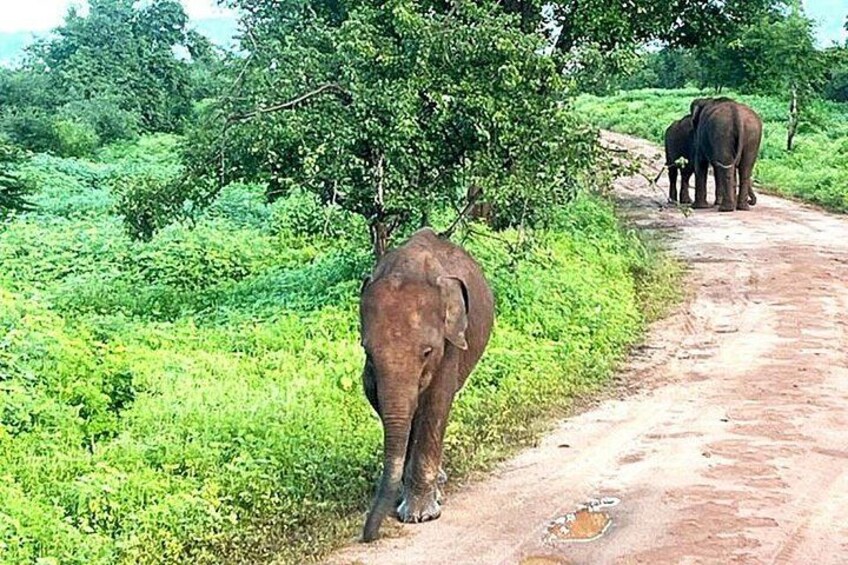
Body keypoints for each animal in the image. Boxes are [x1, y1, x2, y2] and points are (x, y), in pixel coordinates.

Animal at [359, 227, 494, 542]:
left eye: (427, 352)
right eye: (367, 352)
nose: (368, 536)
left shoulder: (452, 340)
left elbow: (436, 404)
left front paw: (419, 515)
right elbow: (384, 404)